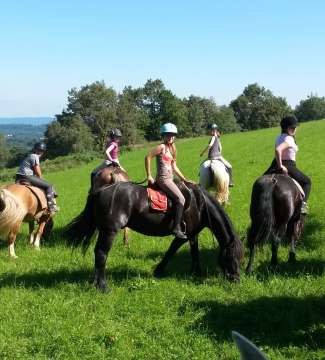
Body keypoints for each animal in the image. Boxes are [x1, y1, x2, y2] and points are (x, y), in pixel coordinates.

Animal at [64, 181, 243, 292]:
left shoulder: (193, 234)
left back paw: (96, 283)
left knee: (98, 254)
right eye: (232, 257)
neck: (199, 204)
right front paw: (159, 270)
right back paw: (103, 286)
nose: (236, 279)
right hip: (110, 231)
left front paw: (196, 271)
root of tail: (101, 190)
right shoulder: (183, 235)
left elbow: (195, 252)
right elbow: (171, 251)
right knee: (101, 254)